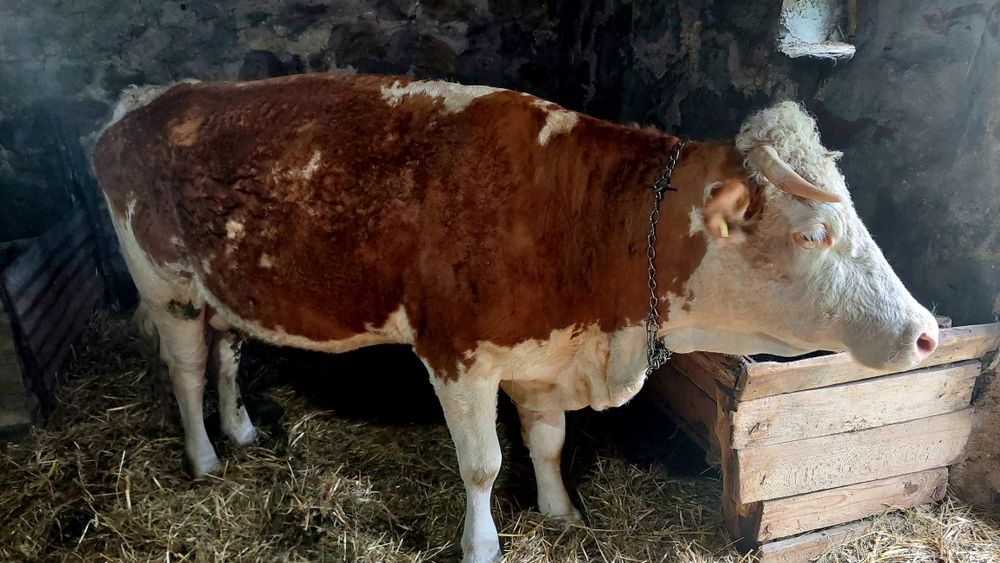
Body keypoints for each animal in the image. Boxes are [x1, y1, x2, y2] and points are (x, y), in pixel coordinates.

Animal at [91, 74, 939, 563]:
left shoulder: (543, 352)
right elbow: (484, 463)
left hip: (223, 287)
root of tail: (145, 102)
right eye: (813, 232)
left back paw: (239, 429)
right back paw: (204, 456)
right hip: (164, 285)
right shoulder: (456, 353)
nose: (926, 330)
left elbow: (548, 441)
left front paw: (560, 512)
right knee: (186, 368)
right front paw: (484, 544)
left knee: (228, 351)